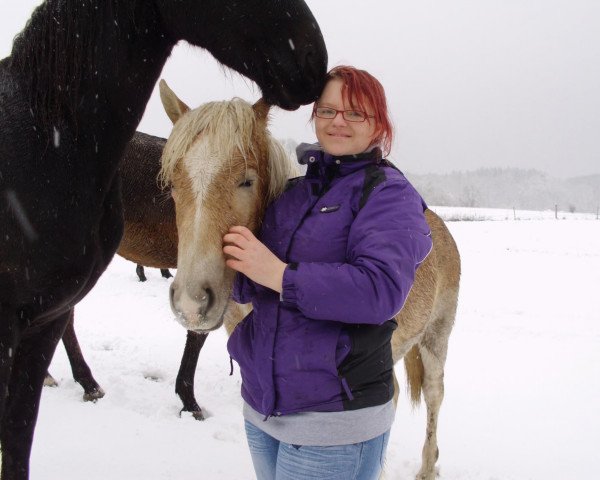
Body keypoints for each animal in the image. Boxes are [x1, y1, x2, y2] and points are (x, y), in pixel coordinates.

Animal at [158, 84, 460, 480]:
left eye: (246, 180)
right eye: (173, 185)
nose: (191, 303)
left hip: (436, 337)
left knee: (434, 394)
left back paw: (427, 467)